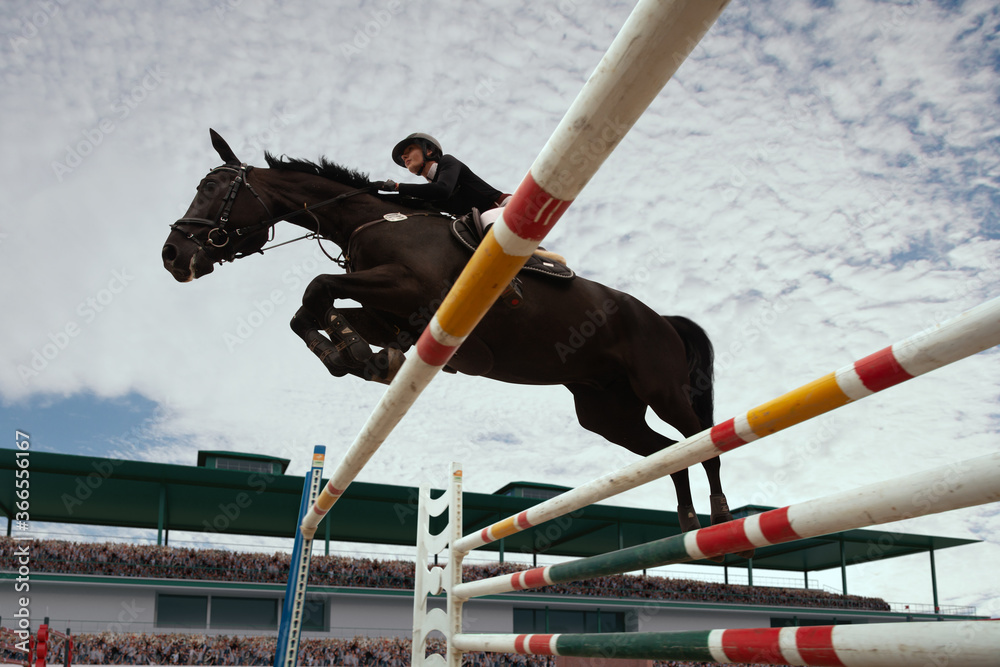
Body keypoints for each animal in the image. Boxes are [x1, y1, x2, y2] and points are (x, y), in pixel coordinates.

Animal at [164, 130, 752, 560]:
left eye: (213, 189)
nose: (172, 256)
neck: (372, 220)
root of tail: (661, 319)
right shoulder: (391, 315)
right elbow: (311, 310)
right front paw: (355, 356)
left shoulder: (409, 290)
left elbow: (317, 287)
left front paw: (352, 354)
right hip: (606, 410)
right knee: (667, 452)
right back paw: (686, 523)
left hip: (660, 387)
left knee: (700, 438)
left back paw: (721, 515)